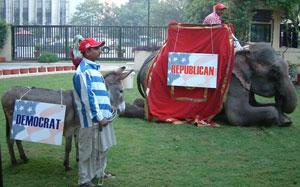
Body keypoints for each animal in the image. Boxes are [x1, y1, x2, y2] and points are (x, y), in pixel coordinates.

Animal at [121, 43, 298, 126]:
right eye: (274, 72)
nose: (280, 98)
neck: (245, 50)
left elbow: (253, 104)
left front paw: (285, 119)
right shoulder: (232, 80)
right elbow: (238, 114)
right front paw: (282, 120)